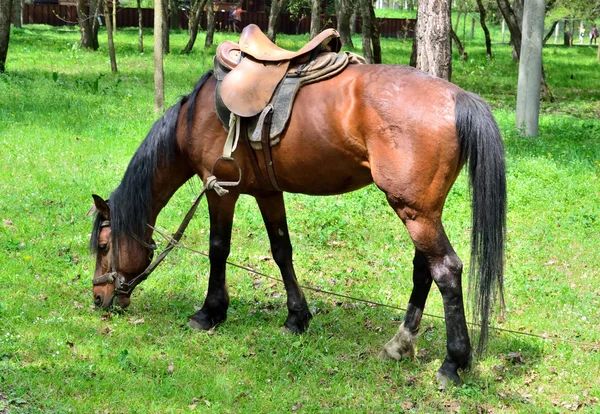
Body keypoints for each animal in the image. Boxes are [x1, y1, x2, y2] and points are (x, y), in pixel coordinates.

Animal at [90, 64, 506, 384]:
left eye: (104, 245)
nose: (98, 298)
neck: (197, 117)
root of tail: (457, 97)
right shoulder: (268, 192)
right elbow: (281, 250)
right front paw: (297, 317)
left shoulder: (220, 191)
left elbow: (218, 249)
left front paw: (210, 312)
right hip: (419, 211)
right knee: (423, 269)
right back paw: (400, 344)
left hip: (414, 211)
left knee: (446, 271)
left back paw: (453, 363)